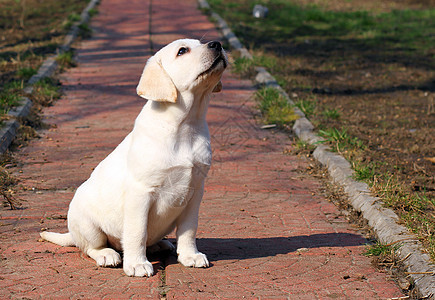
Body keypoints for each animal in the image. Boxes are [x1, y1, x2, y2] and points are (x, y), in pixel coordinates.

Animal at [40, 39, 228, 276]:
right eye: (182, 51)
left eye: (202, 42)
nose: (217, 44)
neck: (186, 124)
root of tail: (71, 234)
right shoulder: (141, 193)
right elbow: (137, 232)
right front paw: (137, 264)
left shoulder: (195, 192)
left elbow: (188, 229)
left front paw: (190, 256)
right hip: (88, 225)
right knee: (92, 247)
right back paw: (107, 254)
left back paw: (161, 244)